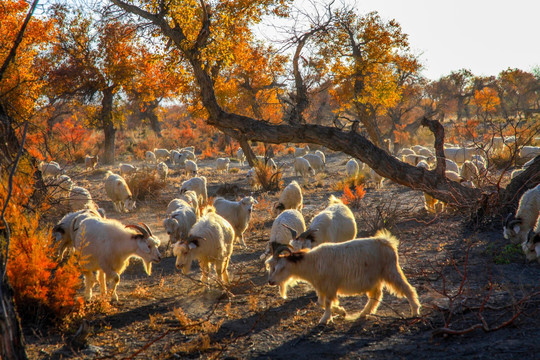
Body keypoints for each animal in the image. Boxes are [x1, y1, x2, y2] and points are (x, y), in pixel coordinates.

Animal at [266, 229, 422, 324]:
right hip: (375, 279)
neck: (313, 262)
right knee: (376, 295)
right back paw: (363, 314)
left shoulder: (330, 286)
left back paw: (415, 311)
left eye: (280, 267)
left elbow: (327, 303)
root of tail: (387, 242)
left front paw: (325, 319)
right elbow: (321, 303)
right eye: (271, 266)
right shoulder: (321, 288)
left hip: (390, 271)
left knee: (407, 288)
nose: (270, 282)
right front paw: (341, 312)